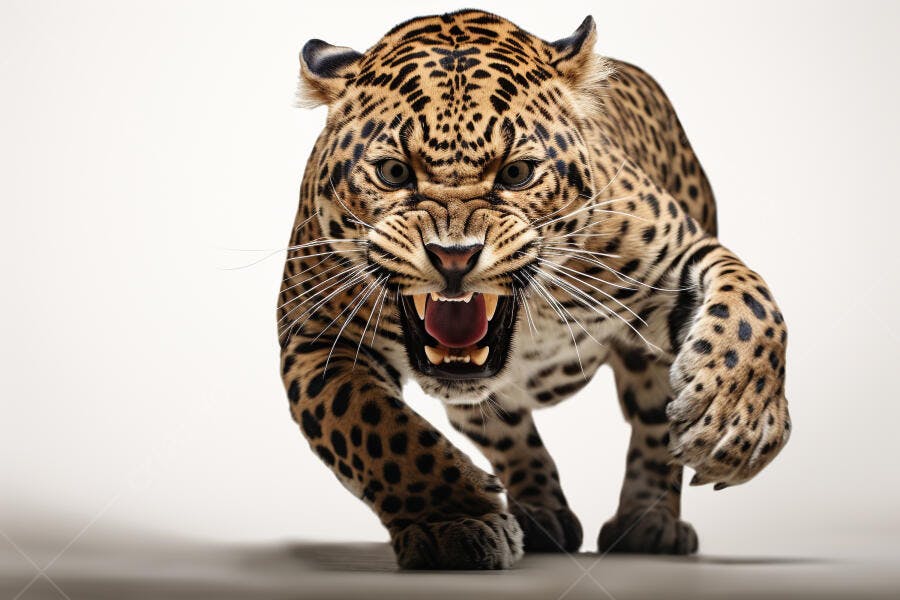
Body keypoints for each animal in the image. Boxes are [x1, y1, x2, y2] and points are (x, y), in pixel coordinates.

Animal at [277, 9, 791, 569]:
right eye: (393, 172)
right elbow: (381, 434)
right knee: (502, 429)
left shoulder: (678, 256)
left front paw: (737, 422)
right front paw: (454, 522)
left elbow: (754, 307)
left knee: (655, 422)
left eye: (517, 173)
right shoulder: (315, 340)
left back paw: (648, 524)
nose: (453, 256)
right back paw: (541, 515)